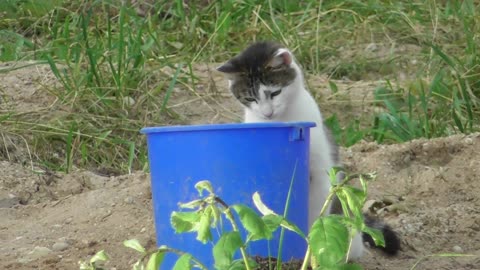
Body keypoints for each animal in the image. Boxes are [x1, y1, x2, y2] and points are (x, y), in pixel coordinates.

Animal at [216, 40, 400, 260]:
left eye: (275, 93)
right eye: (250, 99)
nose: (267, 113)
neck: (282, 120)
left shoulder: (321, 174)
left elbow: (317, 214)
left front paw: (313, 250)